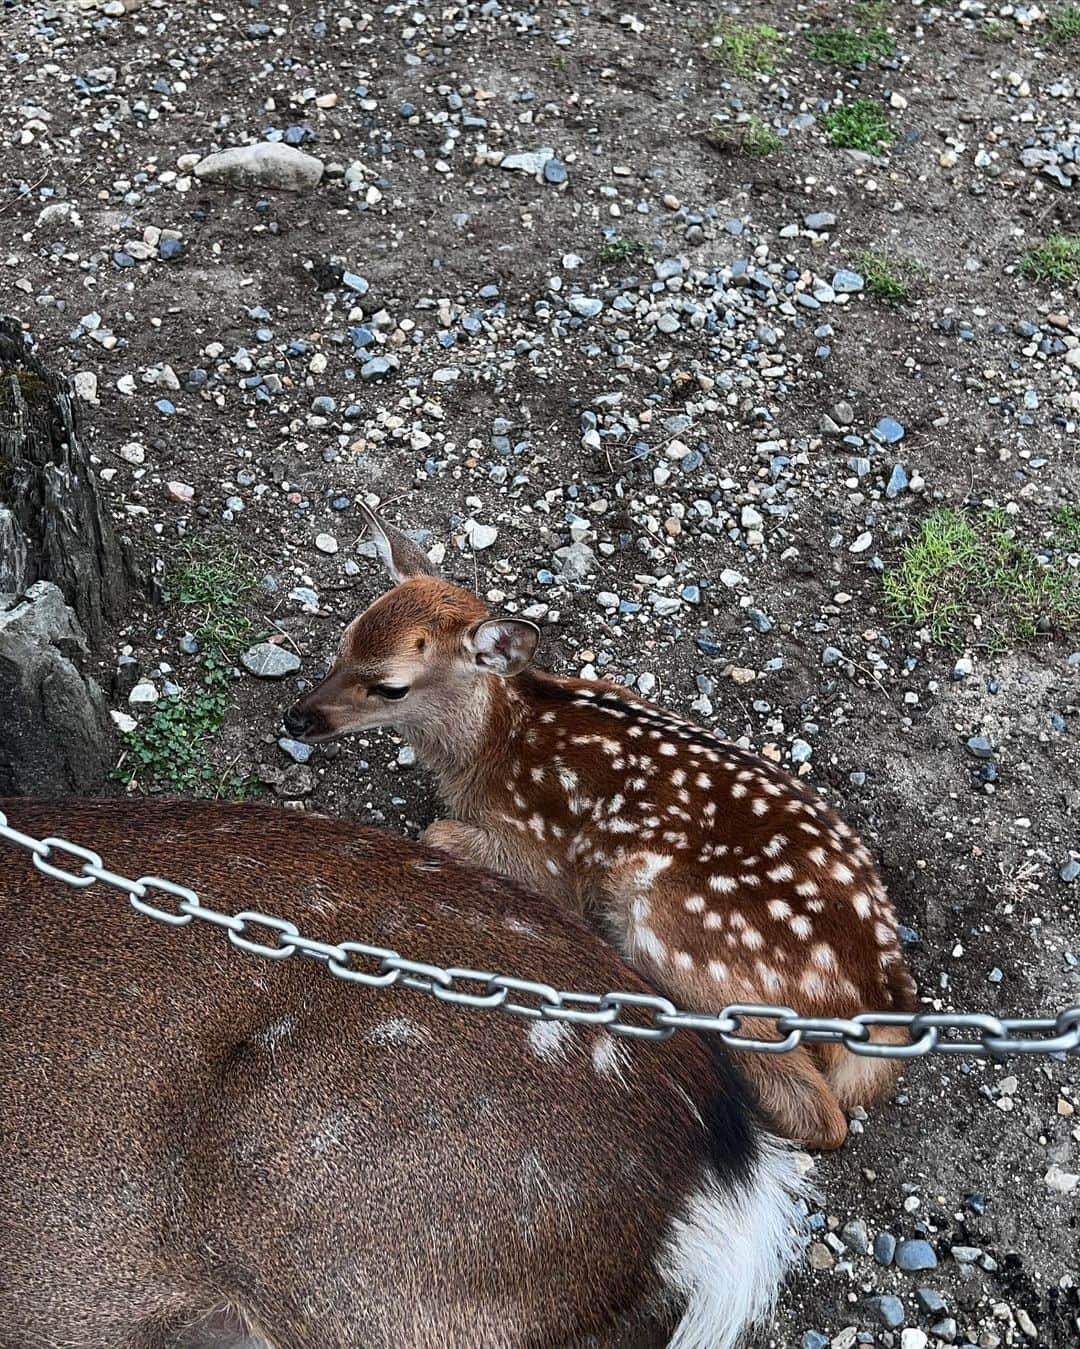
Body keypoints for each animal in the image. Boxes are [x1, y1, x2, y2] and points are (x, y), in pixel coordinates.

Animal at [281, 507, 916, 1149]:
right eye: (343, 643)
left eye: (391, 686)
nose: (296, 718)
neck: (491, 747)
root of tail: (880, 991)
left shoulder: (545, 856)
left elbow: (438, 834)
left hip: (677, 927)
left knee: (820, 1115)